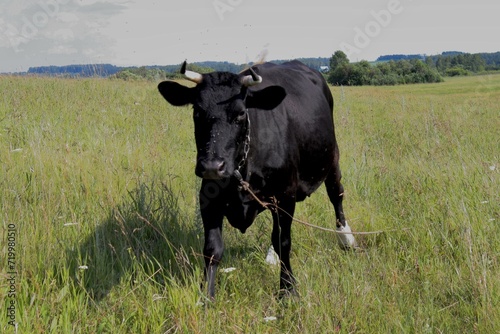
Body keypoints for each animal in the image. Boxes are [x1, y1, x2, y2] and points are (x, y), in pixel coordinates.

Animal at [156, 60, 356, 298]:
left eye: (241, 114)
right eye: (197, 111)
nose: (212, 166)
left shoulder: (285, 196)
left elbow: (283, 242)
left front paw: (287, 290)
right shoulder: (208, 199)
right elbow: (212, 249)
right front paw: (206, 296)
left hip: (332, 158)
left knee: (336, 195)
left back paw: (346, 237)